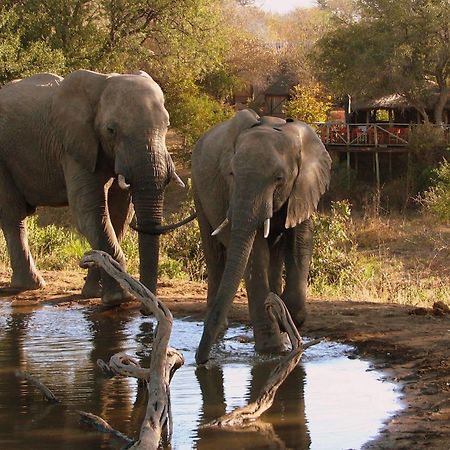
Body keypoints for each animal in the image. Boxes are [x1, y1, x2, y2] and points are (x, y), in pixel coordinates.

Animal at [0, 69, 187, 302]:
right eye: (111, 130)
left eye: (167, 125)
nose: (146, 305)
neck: (102, 82)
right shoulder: (74, 146)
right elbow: (91, 212)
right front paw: (118, 298)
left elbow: (119, 214)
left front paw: (95, 293)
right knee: (13, 215)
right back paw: (29, 286)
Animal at [192, 110, 332, 366]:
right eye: (231, 174)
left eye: (279, 178)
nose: (200, 361)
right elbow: (255, 254)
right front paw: (271, 350)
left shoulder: (304, 186)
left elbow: (300, 243)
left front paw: (287, 317)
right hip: (198, 189)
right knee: (214, 253)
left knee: (273, 256)